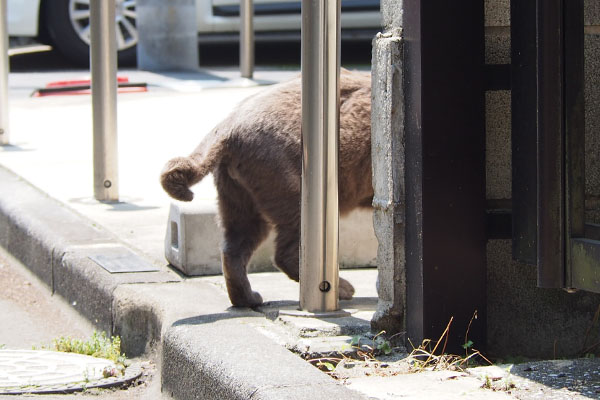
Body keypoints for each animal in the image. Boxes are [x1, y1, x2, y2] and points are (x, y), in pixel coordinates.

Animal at [162, 68, 372, 306]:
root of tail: (227, 125)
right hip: (286, 171)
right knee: (291, 238)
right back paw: (340, 287)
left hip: (240, 187)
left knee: (237, 240)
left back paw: (247, 297)